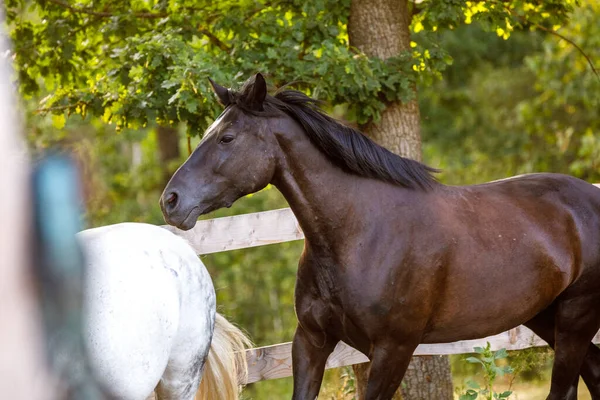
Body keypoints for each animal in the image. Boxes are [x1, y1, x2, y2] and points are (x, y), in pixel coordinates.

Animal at [159, 73, 600, 398]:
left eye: (227, 137)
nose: (171, 201)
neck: (358, 235)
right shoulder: (311, 341)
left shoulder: (392, 351)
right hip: (546, 317)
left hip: (575, 318)